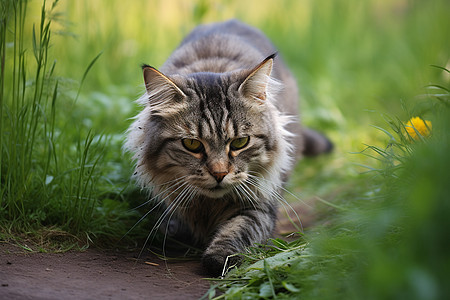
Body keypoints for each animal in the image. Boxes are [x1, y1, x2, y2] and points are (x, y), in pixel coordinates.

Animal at [125, 19, 332, 276]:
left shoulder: (260, 204)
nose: (219, 174)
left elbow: (239, 229)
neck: (209, 205)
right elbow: (173, 224)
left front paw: (218, 257)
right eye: (192, 144)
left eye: (240, 143)